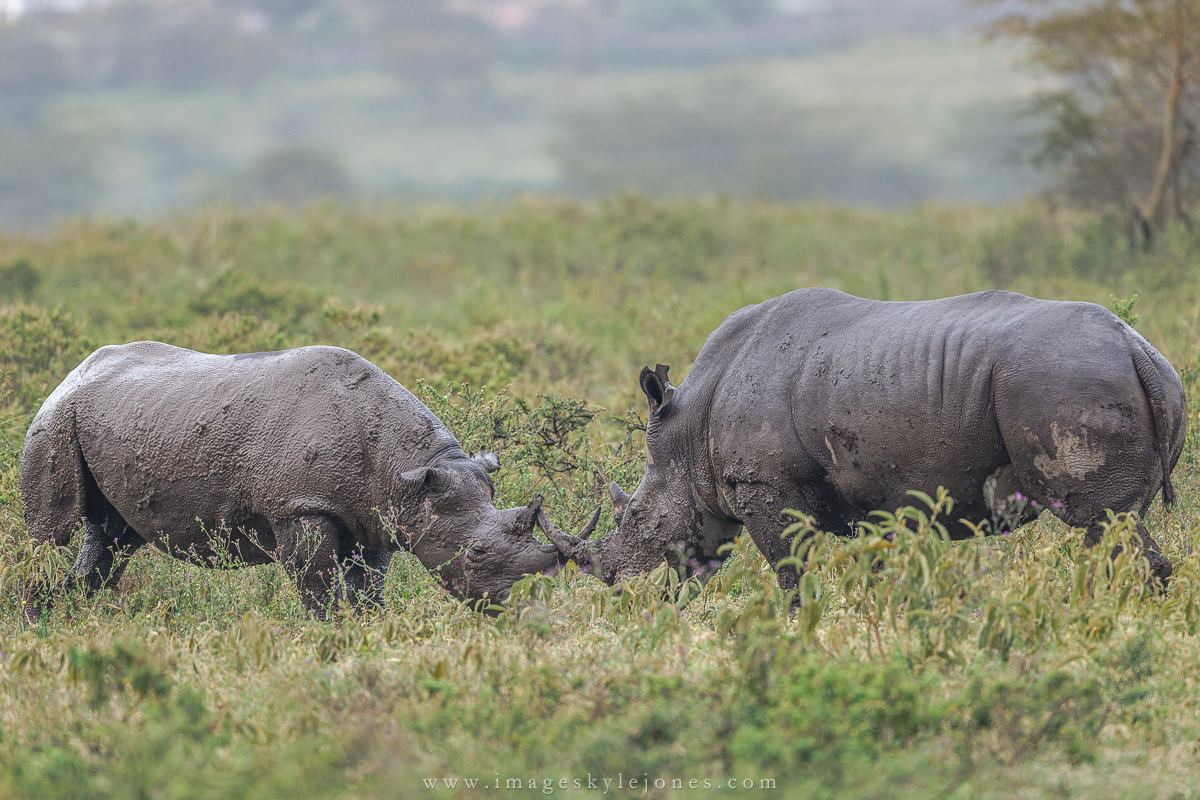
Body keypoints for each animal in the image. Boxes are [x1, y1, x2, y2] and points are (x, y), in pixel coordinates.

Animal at [19, 342, 562, 621]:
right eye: (476, 553)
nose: (526, 609)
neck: (408, 470)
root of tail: (71, 373)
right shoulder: (302, 506)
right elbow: (317, 587)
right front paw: (328, 637)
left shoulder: (375, 513)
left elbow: (369, 587)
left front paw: (368, 631)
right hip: (55, 419)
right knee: (49, 537)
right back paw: (36, 624)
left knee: (110, 542)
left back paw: (69, 619)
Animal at [543, 289, 1186, 591]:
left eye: (635, 519)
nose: (618, 585)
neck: (690, 429)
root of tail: (1137, 351)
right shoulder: (870, 499)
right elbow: (871, 566)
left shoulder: (764, 484)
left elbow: (790, 570)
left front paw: (796, 634)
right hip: (1110, 377)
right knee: (1111, 528)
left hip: (1065, 380)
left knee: (1099, 517)